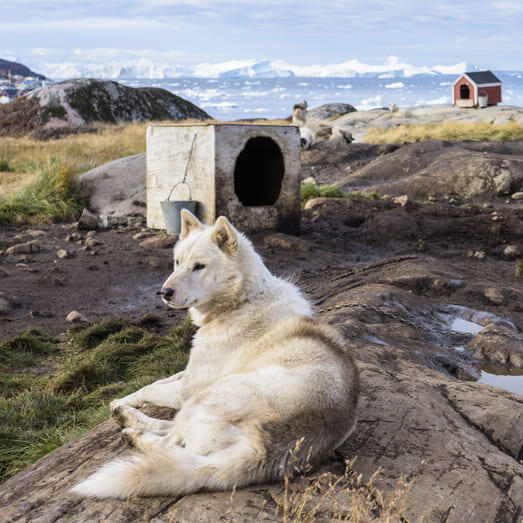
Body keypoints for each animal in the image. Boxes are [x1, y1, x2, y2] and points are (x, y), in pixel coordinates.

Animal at [70, 211, 360, 502]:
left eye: (199, 266)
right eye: (177, 262)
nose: (164, 293)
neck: (242, 301)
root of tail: (264, 451)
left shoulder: (187, 389)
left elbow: (152, 389)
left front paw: (124, 404)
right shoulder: (189, 373)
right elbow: (158, 381)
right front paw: (121, 401)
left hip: (205, 397)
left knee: (167, 444)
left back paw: (133, 433)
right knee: (172, 433)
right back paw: (126, 417)